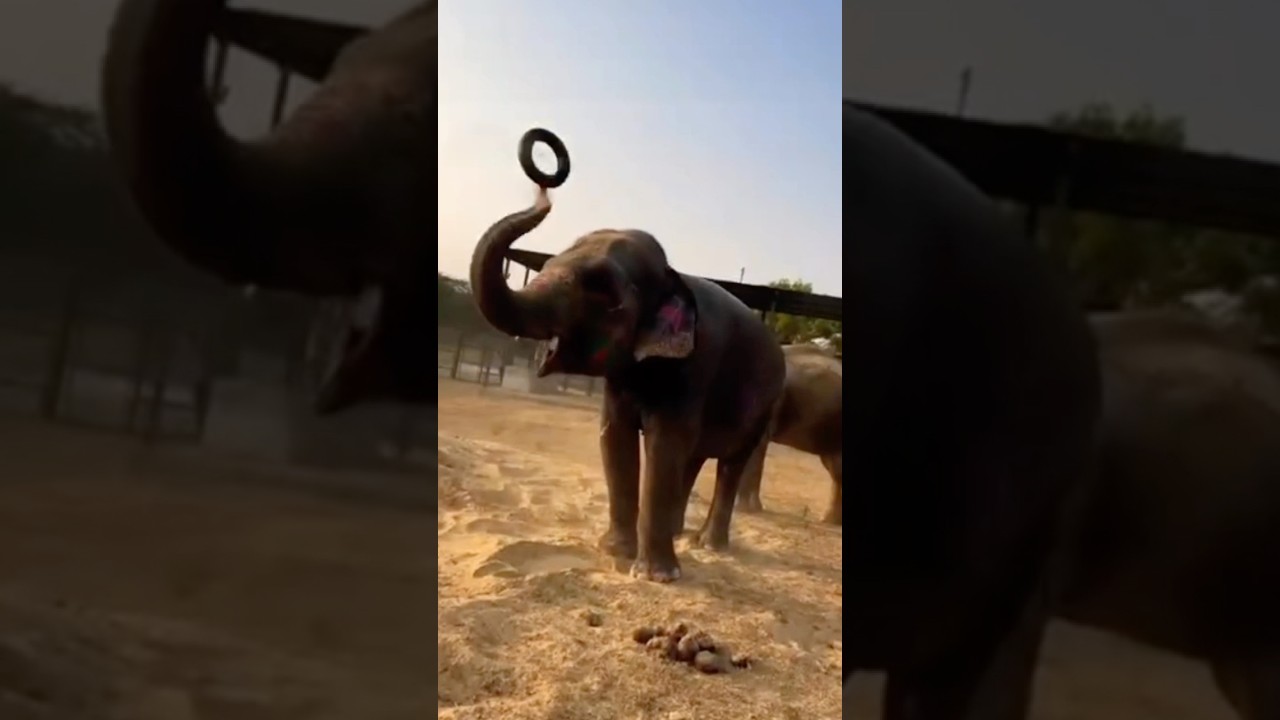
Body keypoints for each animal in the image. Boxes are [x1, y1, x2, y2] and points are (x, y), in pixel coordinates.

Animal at [468, 135, 787, 583]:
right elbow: (614, 437)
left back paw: (709, 545)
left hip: (766, 404)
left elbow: (663, 443)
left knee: (730, 462)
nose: (545, 184)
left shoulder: (693, 367)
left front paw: (657, 577)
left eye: (602, 290)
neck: (673, 275)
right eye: (547, 265)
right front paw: (615, 553)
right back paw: (680, 534)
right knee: (694, 457)